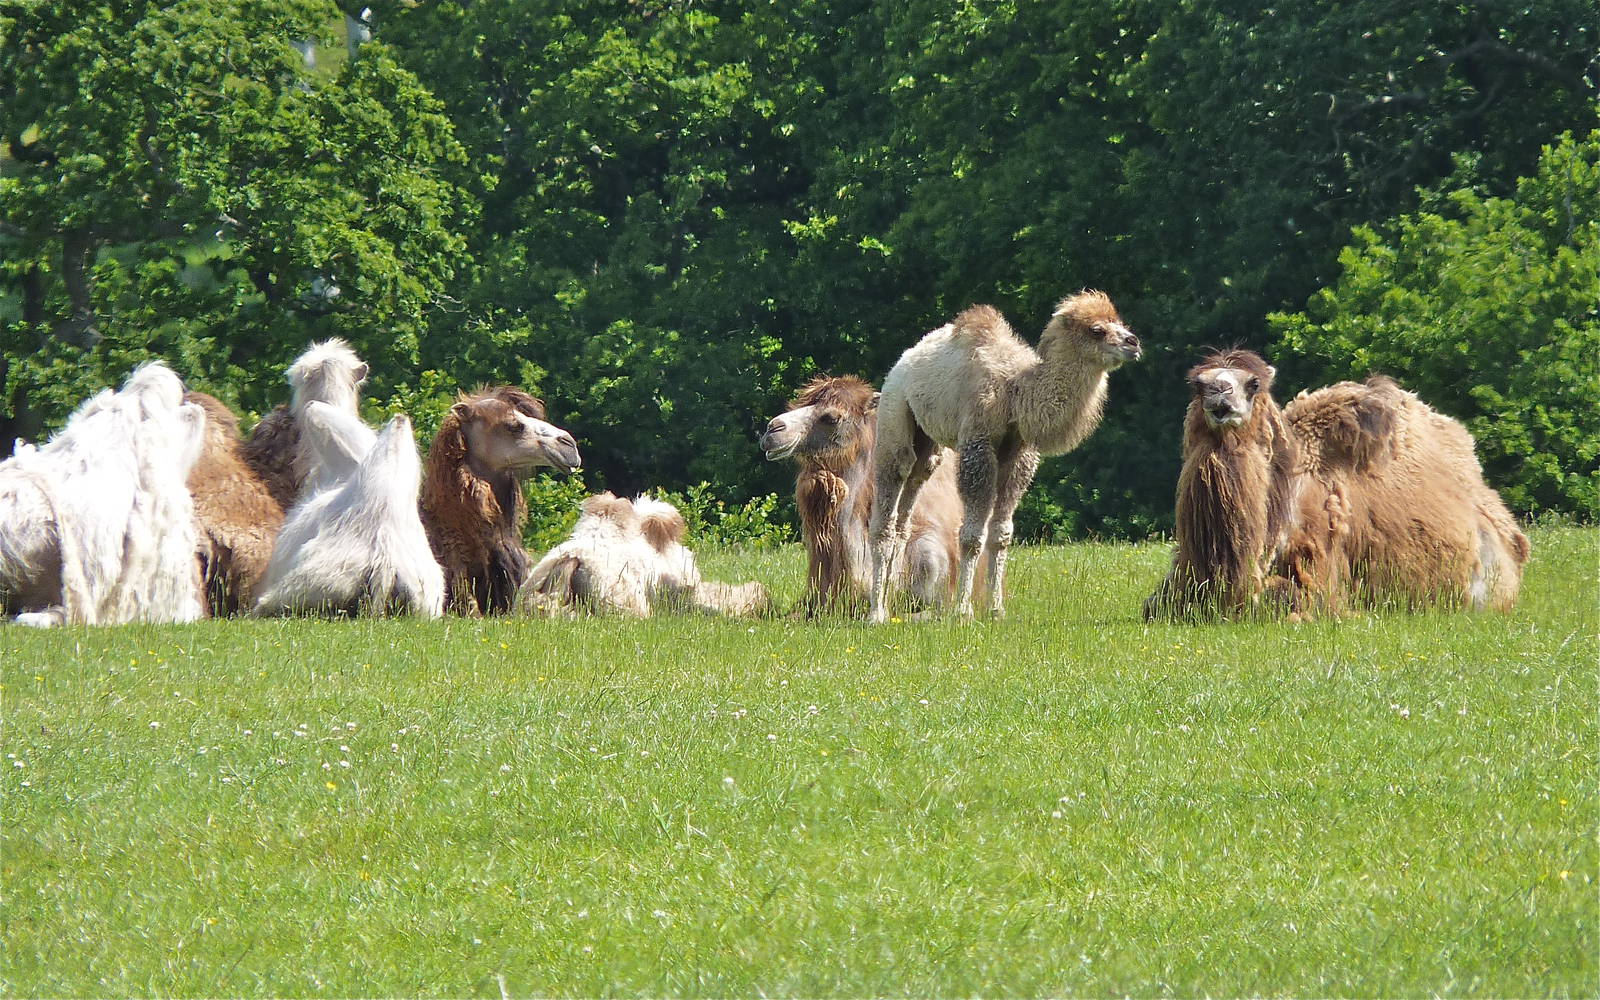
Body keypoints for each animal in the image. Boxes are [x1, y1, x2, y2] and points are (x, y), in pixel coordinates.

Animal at [868, 290, 1143, 622]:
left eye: (1120, 323)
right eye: (1097, 330)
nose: (1133, 343)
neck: (1015, 391)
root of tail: (902, 363)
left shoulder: (1019, 454)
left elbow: (1000, 534)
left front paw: (996, 609)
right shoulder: (978, 445)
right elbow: (972, 536)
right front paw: (963, 611)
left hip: (927, 444)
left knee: (908, 505)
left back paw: (889, 603)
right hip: (894, 412)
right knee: (889, 495)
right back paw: (875, 613)